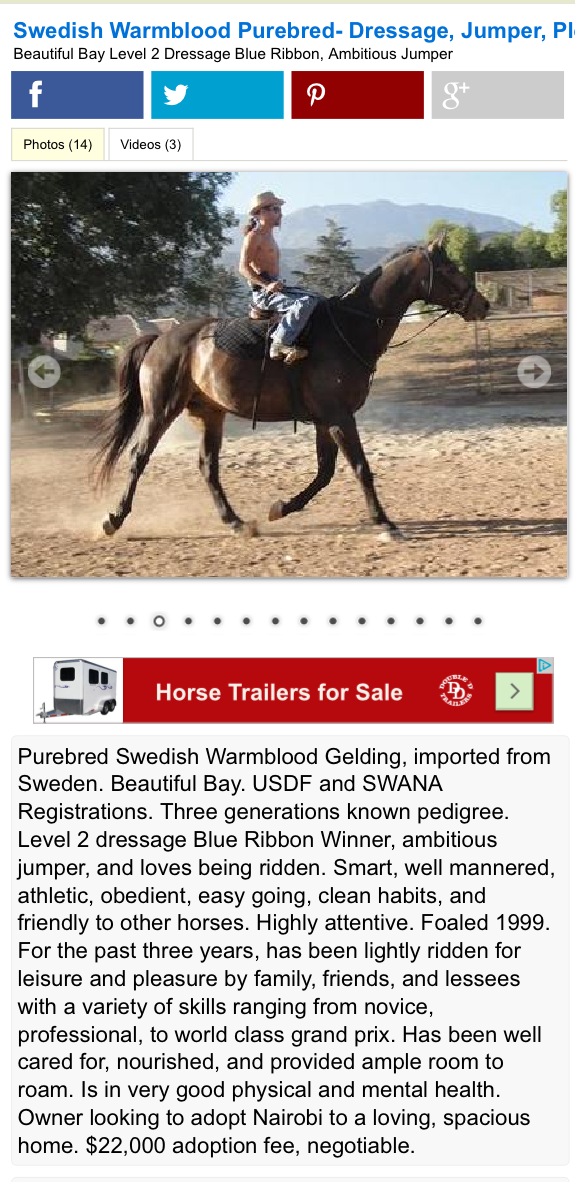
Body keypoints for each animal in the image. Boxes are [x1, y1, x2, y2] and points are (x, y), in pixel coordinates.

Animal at [95, 240, 489, 540]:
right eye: (450, 269)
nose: (482, 305)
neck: (346, 328)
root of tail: (161, 338)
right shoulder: (339, 416)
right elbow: (361, 467)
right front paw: (386, 523)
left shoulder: (325, 420)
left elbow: (325, 472)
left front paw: (282, 507)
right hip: (161, 410)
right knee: (139, 458)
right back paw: (113, 519)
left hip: (209, 415)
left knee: (208, 467)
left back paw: (236, 522)